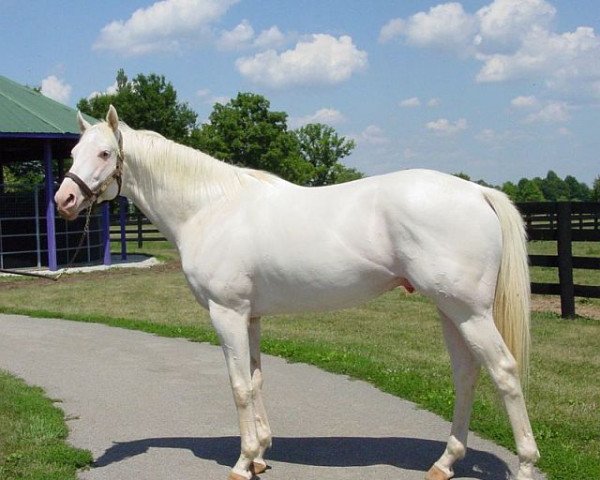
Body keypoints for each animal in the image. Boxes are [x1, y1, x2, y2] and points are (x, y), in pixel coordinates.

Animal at [55, 107, 540, 480]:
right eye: (74, 152)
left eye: (104, 153)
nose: (63, 201)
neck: (210, 208)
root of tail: (476, 192)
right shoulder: (250, 316)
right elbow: (255, 380)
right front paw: (260, 456)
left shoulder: (227, 313)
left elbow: (238, 386)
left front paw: (242, 463)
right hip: (449, 311)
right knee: (466, 375)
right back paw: (444, 463)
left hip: (470, 313)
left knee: (503, 372)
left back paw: (525, 464)